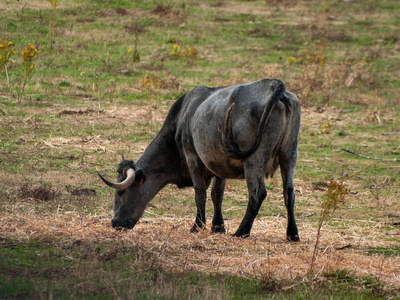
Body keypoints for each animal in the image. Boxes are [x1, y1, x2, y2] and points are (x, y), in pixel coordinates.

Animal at [99, 78, 300, 241]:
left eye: (121, 192)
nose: (115, 223)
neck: (181, 117)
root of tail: (275, 85)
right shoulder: (219, 164)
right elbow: (217, 194)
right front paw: (217, 227)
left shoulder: (193, 159)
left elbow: (200, 193)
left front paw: (197, 226)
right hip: (289, 154)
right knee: (289, 192)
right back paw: (292, 234)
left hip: (253, 159)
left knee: (257, 193)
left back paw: (242, 231)